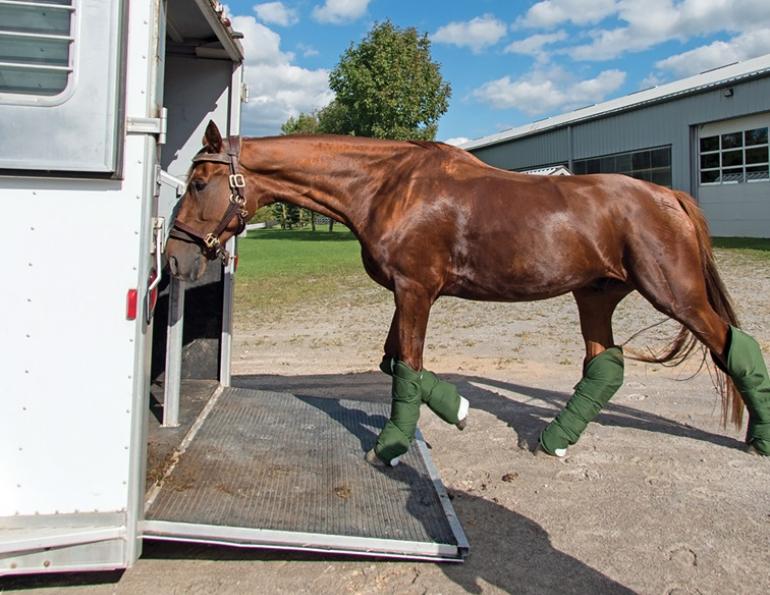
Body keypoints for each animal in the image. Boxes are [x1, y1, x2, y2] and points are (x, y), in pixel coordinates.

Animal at [166, 121, 770, 465]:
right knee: (605, 366)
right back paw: (555, 439)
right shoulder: (408, 293)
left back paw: (759, 439)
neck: (387, 186)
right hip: (596, 296)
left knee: (734, 345)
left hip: (676, 296)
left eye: (198, 183)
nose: (174, 260)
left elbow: (406, 367)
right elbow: (393, 363)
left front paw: (390, 446)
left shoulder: (414, 291)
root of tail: (668, 196)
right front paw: (456, 408)